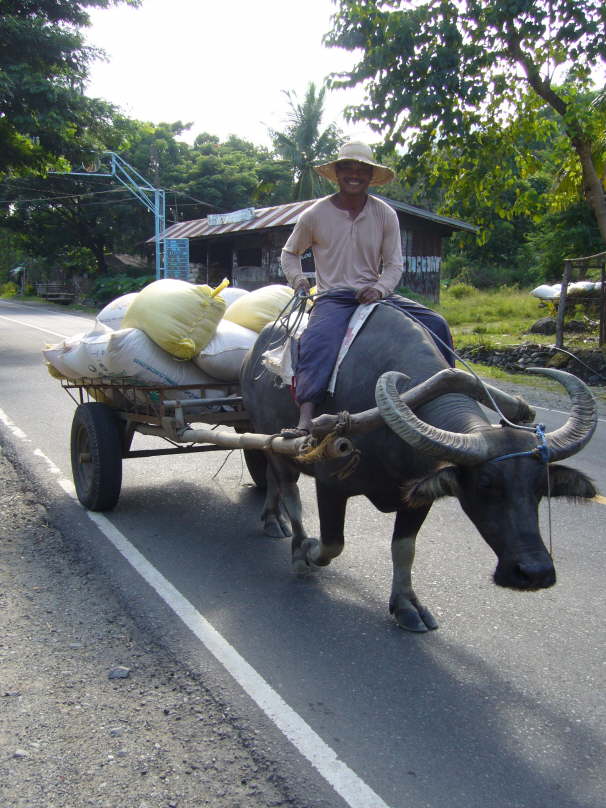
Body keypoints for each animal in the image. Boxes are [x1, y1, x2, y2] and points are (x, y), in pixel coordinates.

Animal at [241, 304, 600, 632]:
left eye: (541, 487)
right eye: (485, 484)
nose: (535, 572)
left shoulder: (417, 494)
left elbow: (404, 549)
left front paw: (405, 606)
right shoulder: (331, 485)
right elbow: (333, 543)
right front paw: (307, 552)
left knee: (272, 479)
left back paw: (273, 519)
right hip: (274, 441)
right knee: (289, 491)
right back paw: (290, 536)